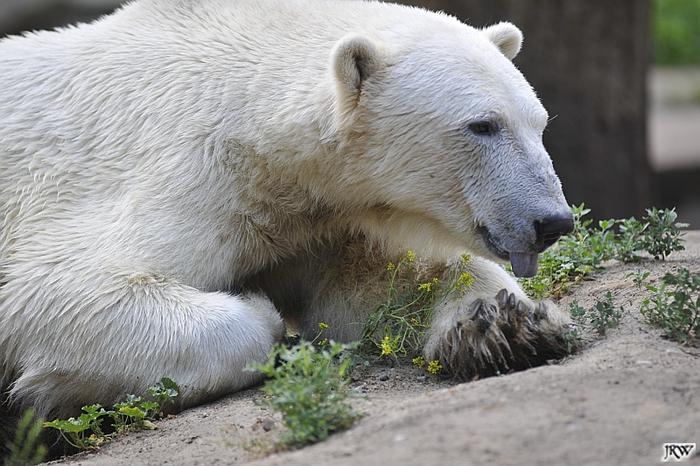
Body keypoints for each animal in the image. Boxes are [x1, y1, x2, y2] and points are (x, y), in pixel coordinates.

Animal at [0, 0, 574, 420]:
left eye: (539, 122)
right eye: (482, 125)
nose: (553, 221)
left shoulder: (317, 212)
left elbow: (374, 282)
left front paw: (504, 325)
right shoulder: (168, 167)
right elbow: (56, 285)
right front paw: (259, 311)